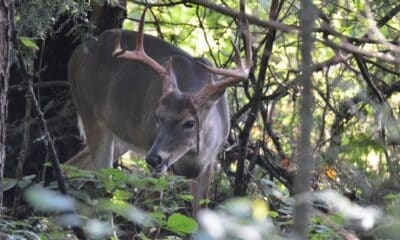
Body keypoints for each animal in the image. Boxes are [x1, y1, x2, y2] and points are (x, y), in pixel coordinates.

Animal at [67, 7, 252, 215]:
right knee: (101, 185)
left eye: (189, 122)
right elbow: (153, 212)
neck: (192, 159)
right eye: (157, 117)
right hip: (92, 115)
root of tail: (76, 54)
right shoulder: (152, 151)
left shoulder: (210, 163)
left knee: (73, 167)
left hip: (122, 137)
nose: (153, 158)